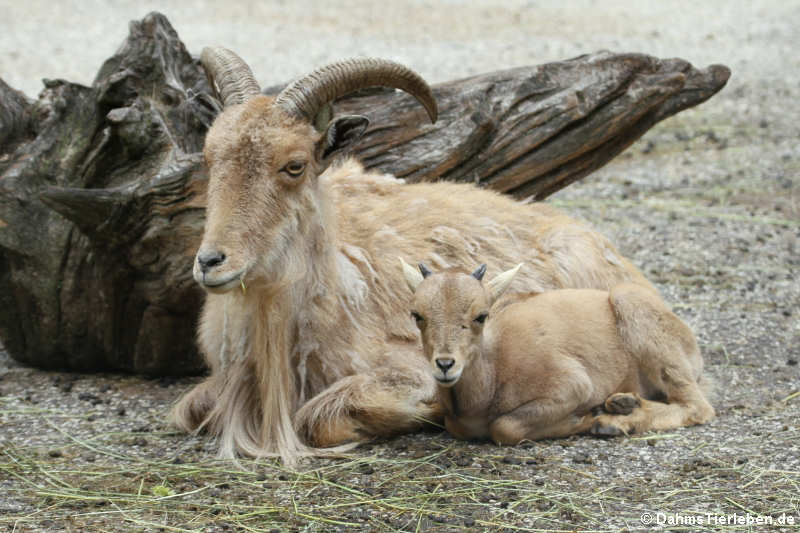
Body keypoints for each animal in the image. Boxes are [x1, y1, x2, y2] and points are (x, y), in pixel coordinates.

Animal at [169, 45, 676, 462]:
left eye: (294, 165)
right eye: (210, 158)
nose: (211, 262)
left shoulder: (410, 366)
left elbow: (318, 419)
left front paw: (423, 415)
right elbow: (190, 409)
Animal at [400, 260, 712, 440]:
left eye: (481, 315)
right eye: (417, 314)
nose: (445, 365)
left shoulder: (573, 385)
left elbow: (505, 427)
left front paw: (586, 419)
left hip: (639, 316)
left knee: (698, 407)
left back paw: (615, 419)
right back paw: (622, 404)